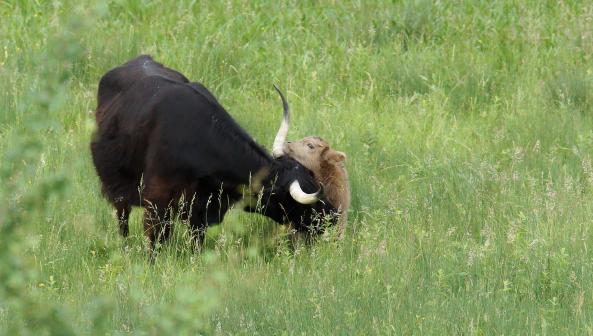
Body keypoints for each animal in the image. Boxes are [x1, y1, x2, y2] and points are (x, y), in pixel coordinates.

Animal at [89, 55, 336, 252]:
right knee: (122, 217)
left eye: (312, 177)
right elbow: (156, 240)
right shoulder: (157, 202)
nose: (333, 217)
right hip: (117, 188)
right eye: (304, 202)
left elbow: (196, 242)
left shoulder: (200, 210)